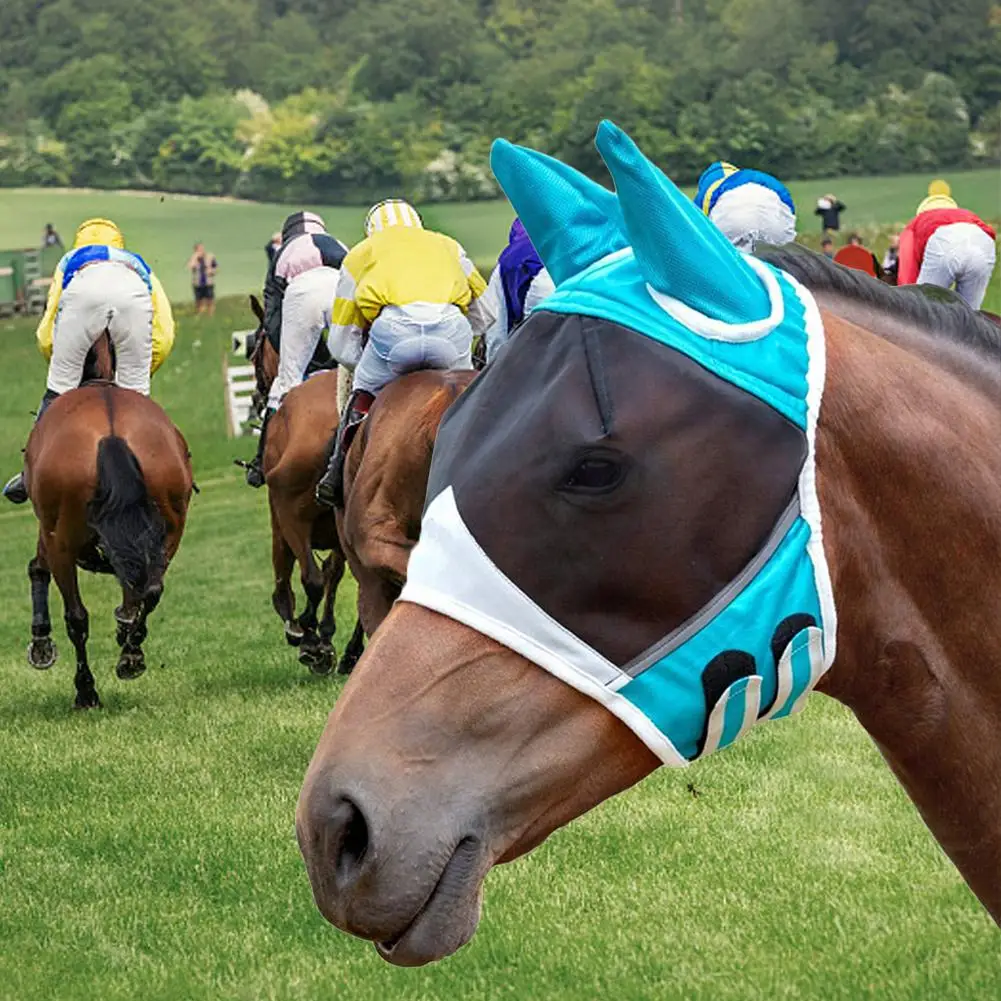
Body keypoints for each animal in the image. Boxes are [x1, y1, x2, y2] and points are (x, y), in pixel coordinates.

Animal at [23, 383, 193, 709]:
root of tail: (111, 433)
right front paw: (126, 630)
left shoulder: (51, 536)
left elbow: (38, 569)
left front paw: (41, 643)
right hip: (171, 527)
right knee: (151, 589)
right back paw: (130, 655)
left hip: (61, 541)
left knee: (76, 617)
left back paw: (86, 692)